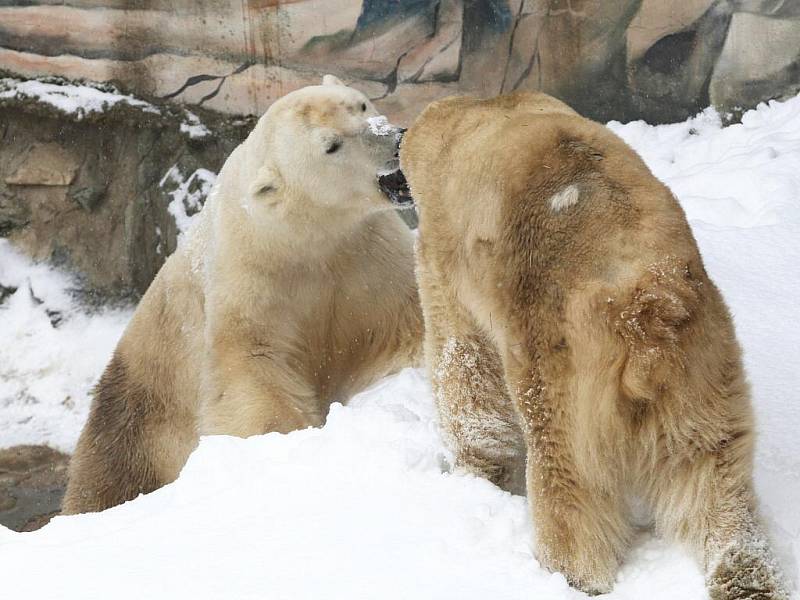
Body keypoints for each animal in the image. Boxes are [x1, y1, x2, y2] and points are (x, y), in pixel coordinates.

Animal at [61, 75, 422, 512]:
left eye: (361, 105)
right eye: (331, 145)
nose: (397, 140)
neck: (304, 232)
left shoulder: (368, 256)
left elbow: (404, 322)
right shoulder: (250, 275)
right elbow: (250, 366)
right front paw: (281, 440)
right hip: (138, 414)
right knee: (109, 472)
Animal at [400, 94, 788, 600]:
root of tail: (644, 314)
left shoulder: (446, 259)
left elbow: (464, 368)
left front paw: (477, 472)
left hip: (567, 367)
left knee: (568, 473)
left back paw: (568, 572)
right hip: (704, 367)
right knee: (716, 484)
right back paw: (746, 577)